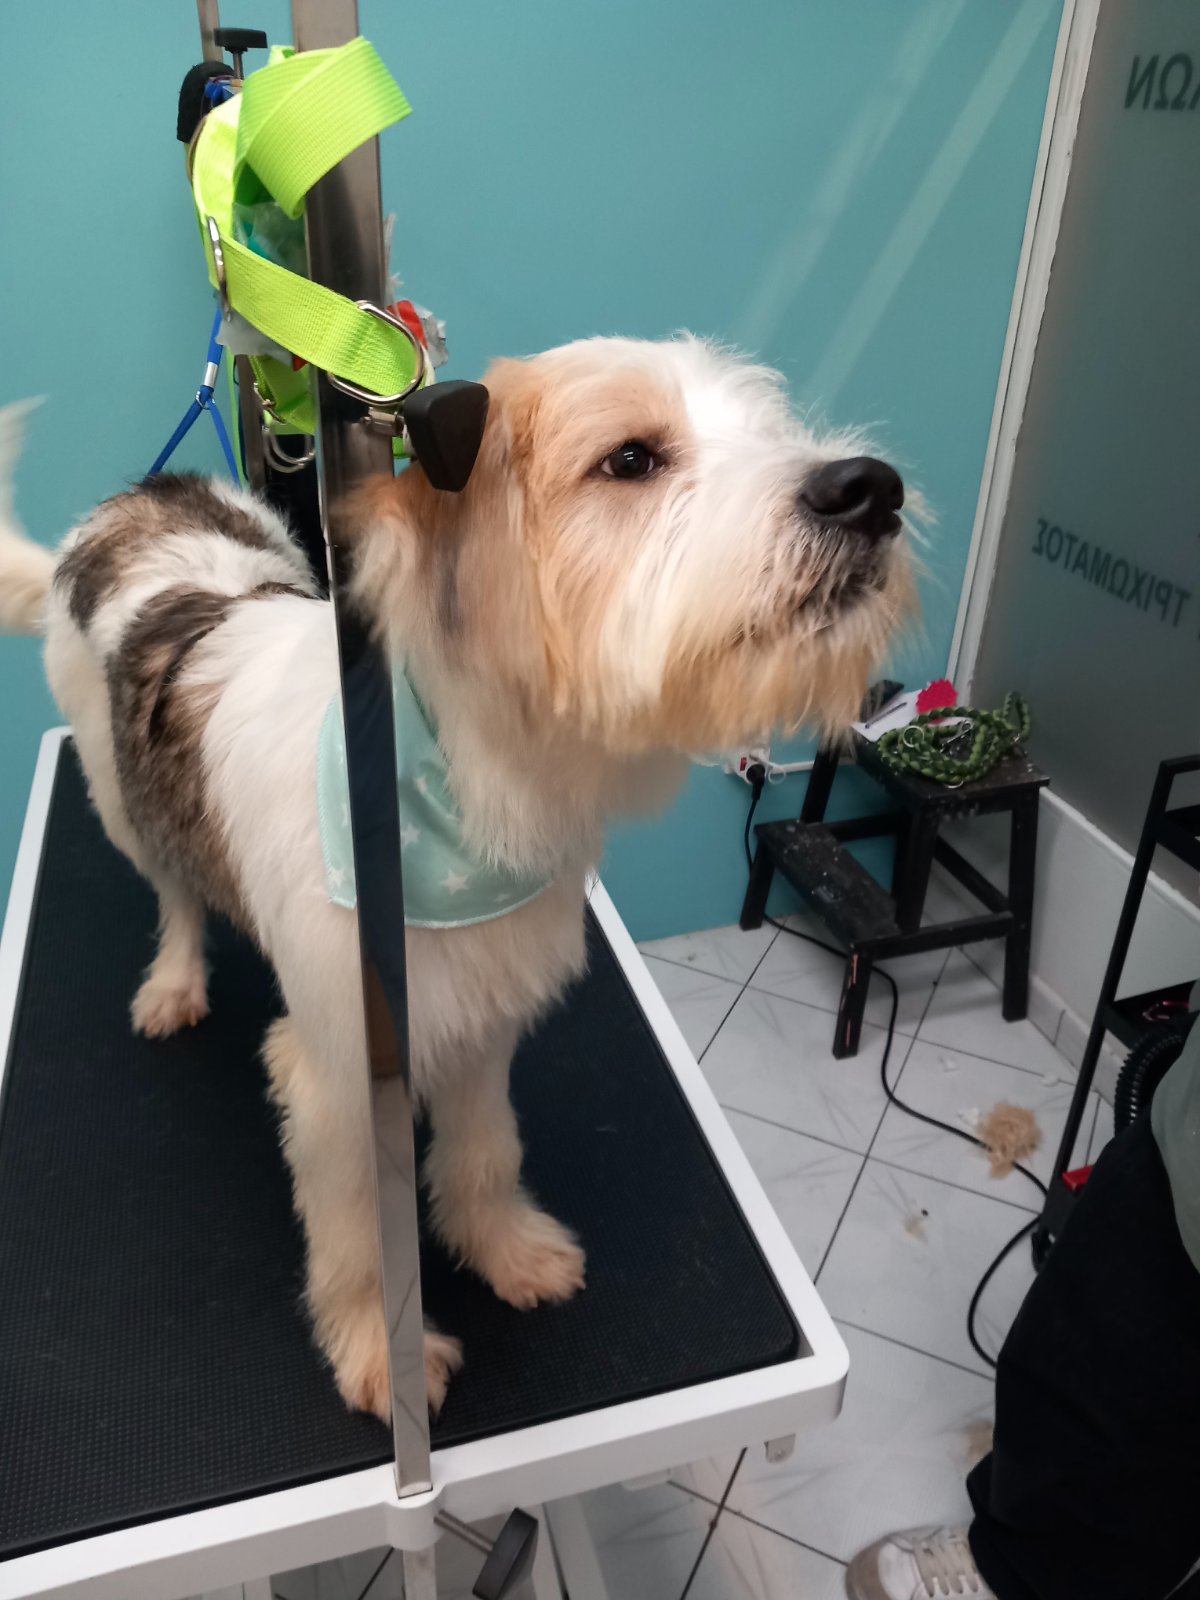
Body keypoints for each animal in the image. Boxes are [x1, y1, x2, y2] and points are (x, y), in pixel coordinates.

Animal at [0, 336, 913, 1418]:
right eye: (632, 459)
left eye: (773, 432)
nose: (871, 489)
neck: (457, 786)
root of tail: (142, 499)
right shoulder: (337, 1073)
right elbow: (358, 1234)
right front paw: (375, 1353)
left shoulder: (485, 1013)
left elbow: (485, 1152)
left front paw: (504, 1250)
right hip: (115, 790)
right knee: (173, 888)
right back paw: (176, 980)